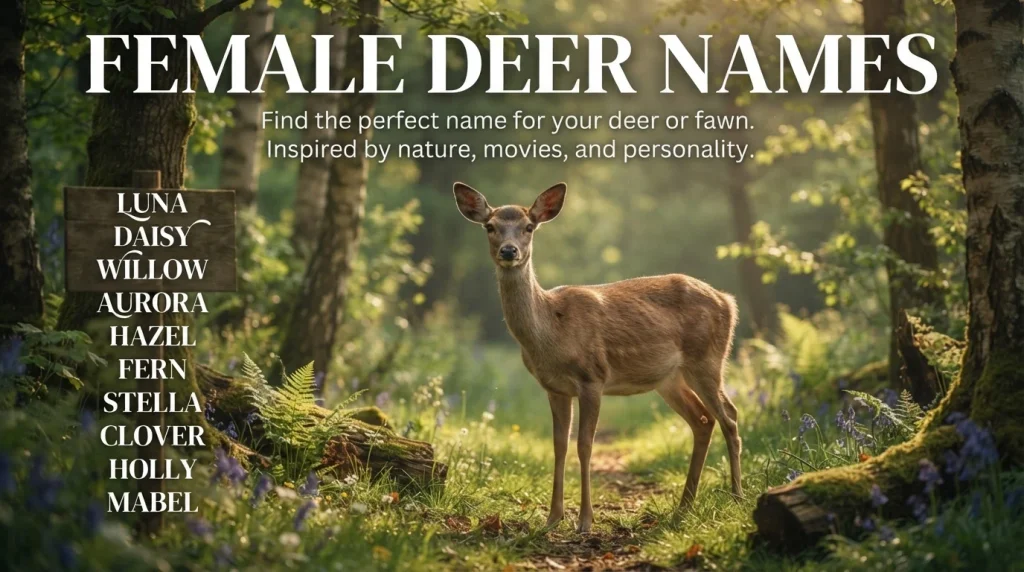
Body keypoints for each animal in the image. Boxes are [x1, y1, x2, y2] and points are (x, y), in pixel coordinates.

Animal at [453, 182, 742, 533]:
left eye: (529, 226)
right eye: (490, 226)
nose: (509, 251)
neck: (551, 330)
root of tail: (728, 300)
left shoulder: (592, 377)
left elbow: (584, 445)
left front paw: (585, 520)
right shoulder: (555, 388)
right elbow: (559, 445)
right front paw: (552, 518)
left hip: (708, 358)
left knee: (730, 416)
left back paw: (737, 497)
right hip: (670, 379)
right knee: (703, 419)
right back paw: (684, 506)